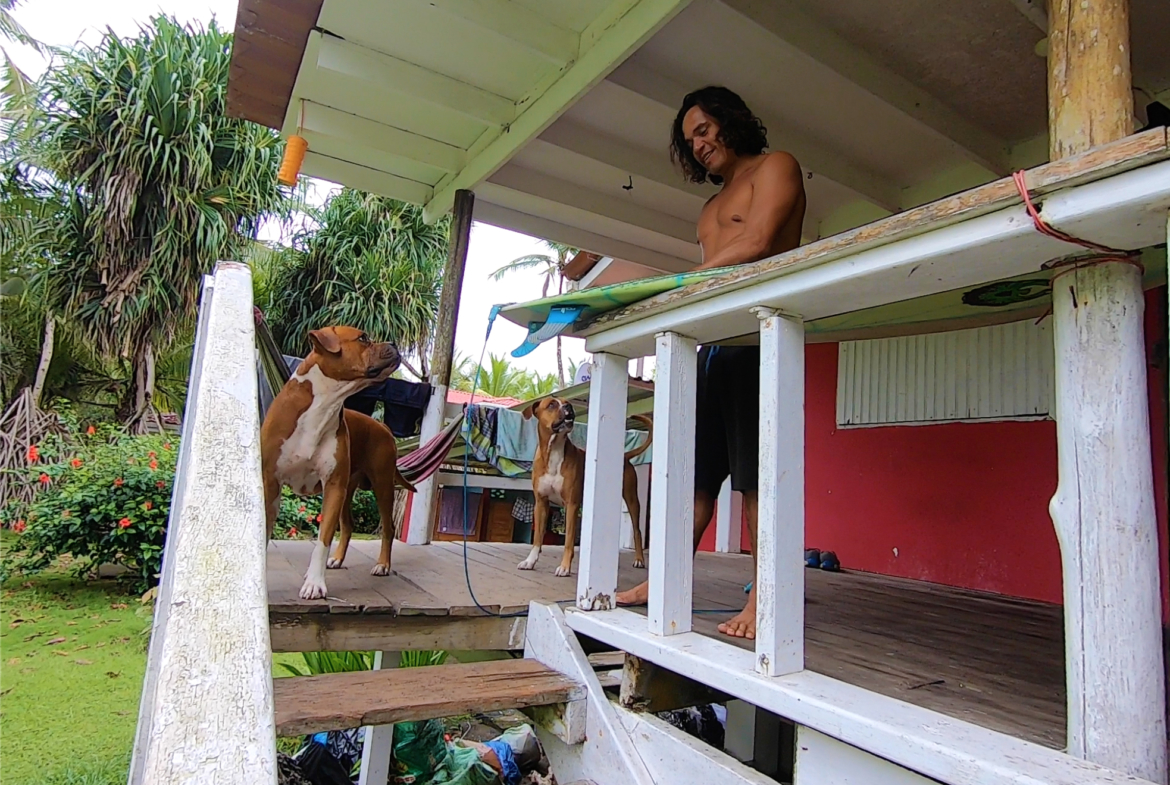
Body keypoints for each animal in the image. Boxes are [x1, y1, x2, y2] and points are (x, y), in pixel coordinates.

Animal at [260, 325, 402, 603]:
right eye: (363, 338)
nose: (394, 344)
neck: (323, 405)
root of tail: (383, 427)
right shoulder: (270, 483)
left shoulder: (333, 486)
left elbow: (323, 539)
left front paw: (314, 584)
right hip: (349, 490)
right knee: (348, 525)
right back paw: (337, 559)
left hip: (381, 485)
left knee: (388, 528)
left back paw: (382, 564)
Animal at [519, 400, 655, 577]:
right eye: (551, 405)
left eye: (566, 403)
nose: (568, 406)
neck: (554, 449)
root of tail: (624, 456)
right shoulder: (541, 503)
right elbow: (537, 538)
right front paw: (530, 561)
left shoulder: (571, 505)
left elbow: (568, 540)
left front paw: (564, 567)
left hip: (632, 500)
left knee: (637, 531)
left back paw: (639, 559)